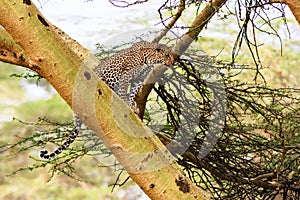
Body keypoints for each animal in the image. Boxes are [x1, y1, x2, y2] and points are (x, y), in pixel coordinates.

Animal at [40, 40, 176, 159]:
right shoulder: (126, 75)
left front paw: (132, 106)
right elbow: (123, 91)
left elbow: (132, 93)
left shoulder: (138, 79)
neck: (149, 58)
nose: (172, 62)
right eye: (167, 55)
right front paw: (126, 103)